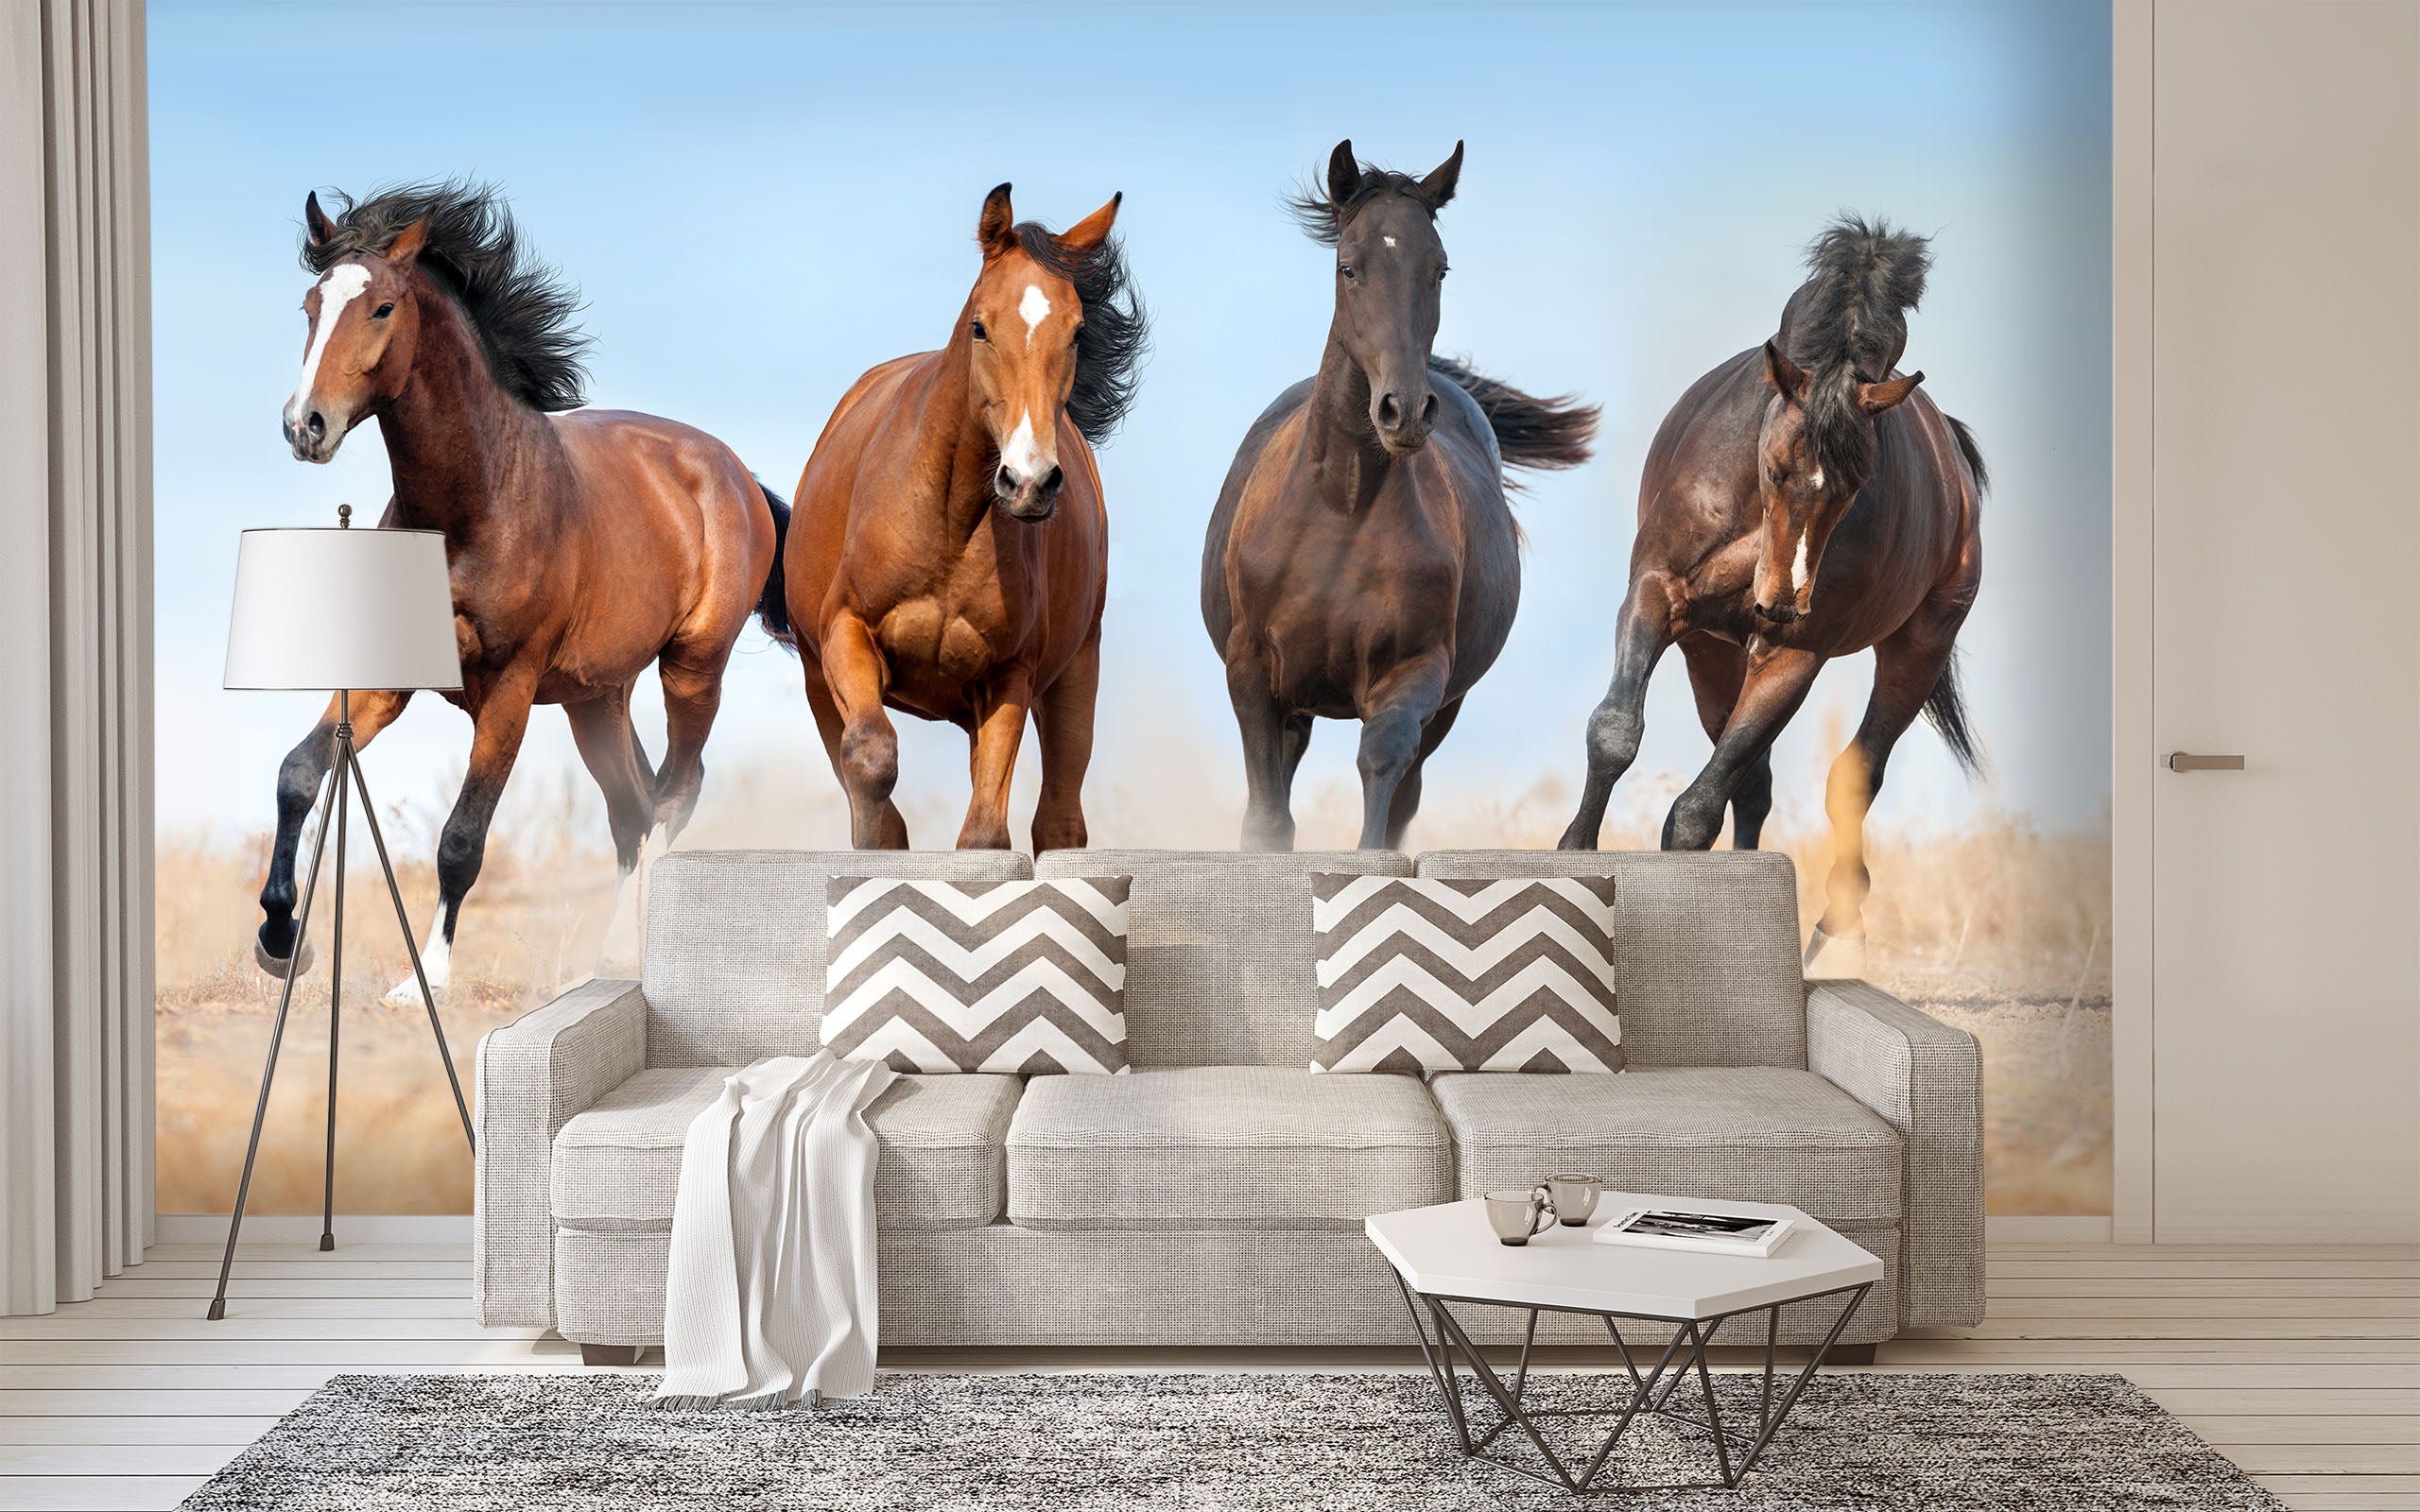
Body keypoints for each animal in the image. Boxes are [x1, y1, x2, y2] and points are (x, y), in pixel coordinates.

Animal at [257, 180, 789, 1003]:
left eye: (382, 307)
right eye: (311, 304)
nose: (304, 426)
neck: (476, 505)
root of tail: (736, 473)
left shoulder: (509, 687)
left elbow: (461, 837)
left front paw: (426, 981)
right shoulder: (389, 682)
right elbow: (298, 774)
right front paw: (282, 940)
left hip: (693, 667)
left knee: (675, 794)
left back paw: (628, 956)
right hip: (595, 698)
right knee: (633, 808)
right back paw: (610, 958)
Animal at [786, 184, 1145, 850]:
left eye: (1077, 331)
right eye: (981, 326)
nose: (1029, 481)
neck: (949, 527)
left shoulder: (1009, 676)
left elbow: (985, 835)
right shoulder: (846, 635)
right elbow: (872, 766)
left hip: (1075, 675)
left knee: (1059, 820)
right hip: (818, 680)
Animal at [1202, 140, 1598, 851]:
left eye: (1439, 268)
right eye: (1349, 267)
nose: (1404, 410)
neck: (1342, 507)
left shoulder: (1415, 675)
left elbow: (1382, 779)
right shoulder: (1252, 672)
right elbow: (1268, 817)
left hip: (1446, 705)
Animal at [1556, 215, 1987, 978]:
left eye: (1857, 483)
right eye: (1777, 467)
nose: (1781, 603)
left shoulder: (1794, 656)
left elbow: (1695, 813)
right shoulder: (1655, 598)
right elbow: (1614, 733)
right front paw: (1573, 856)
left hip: (1920, 646)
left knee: (1852, 775)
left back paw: (1837, 934)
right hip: (1712, 653)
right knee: (1752, 782)